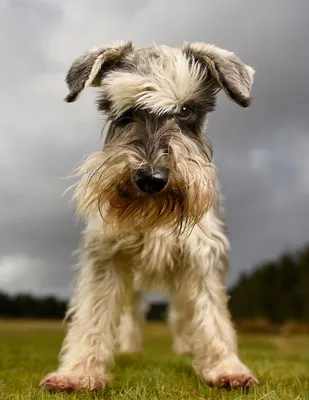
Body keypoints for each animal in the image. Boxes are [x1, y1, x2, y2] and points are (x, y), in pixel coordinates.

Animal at [40, 39, 258, 390]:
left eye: (185, 110)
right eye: (126, 111)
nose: (151, 178)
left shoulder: (201, 257)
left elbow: (211, 314)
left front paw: (225, 367)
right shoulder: (106, 255)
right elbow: (94, 312)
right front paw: (78, 372)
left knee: (181, 315)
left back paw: (185, 348)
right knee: (133, 312)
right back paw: (130, 349)